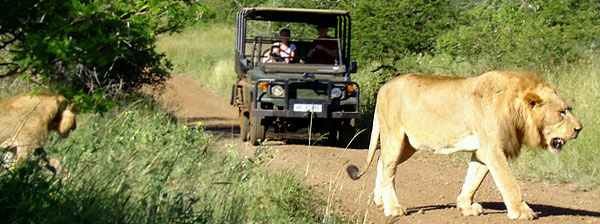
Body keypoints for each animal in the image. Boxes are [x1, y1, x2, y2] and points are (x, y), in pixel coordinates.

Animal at [346, 71, 580, 220]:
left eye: (569, 108)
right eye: (561, 112)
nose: (580, 128)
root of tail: (383, 87)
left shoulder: (483, 151)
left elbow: (473, 179)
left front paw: (466, 207)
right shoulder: (493, 149)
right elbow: (509, 182)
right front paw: (521, 211)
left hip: (409, 144)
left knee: (381, 162)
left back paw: (379, 201)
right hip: (395, 136)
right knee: (388, 168)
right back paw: (393, 208)